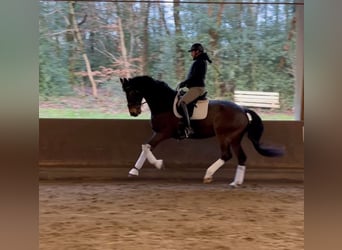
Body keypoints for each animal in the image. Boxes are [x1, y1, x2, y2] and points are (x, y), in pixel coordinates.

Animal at [119, 75, 284, 187]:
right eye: (126, 93)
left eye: (132, 92)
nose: (133, 112)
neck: (164, 103)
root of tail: (243, 110)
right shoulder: (158, 133)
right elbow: (145, 147)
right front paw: (134, 171)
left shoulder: (164, 133)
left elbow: (146, 147)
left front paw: (159, 164)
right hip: (235, 138)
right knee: (241, 157)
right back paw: (235, 183)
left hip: (224, 136)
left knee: (226, 155)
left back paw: (208, 175)